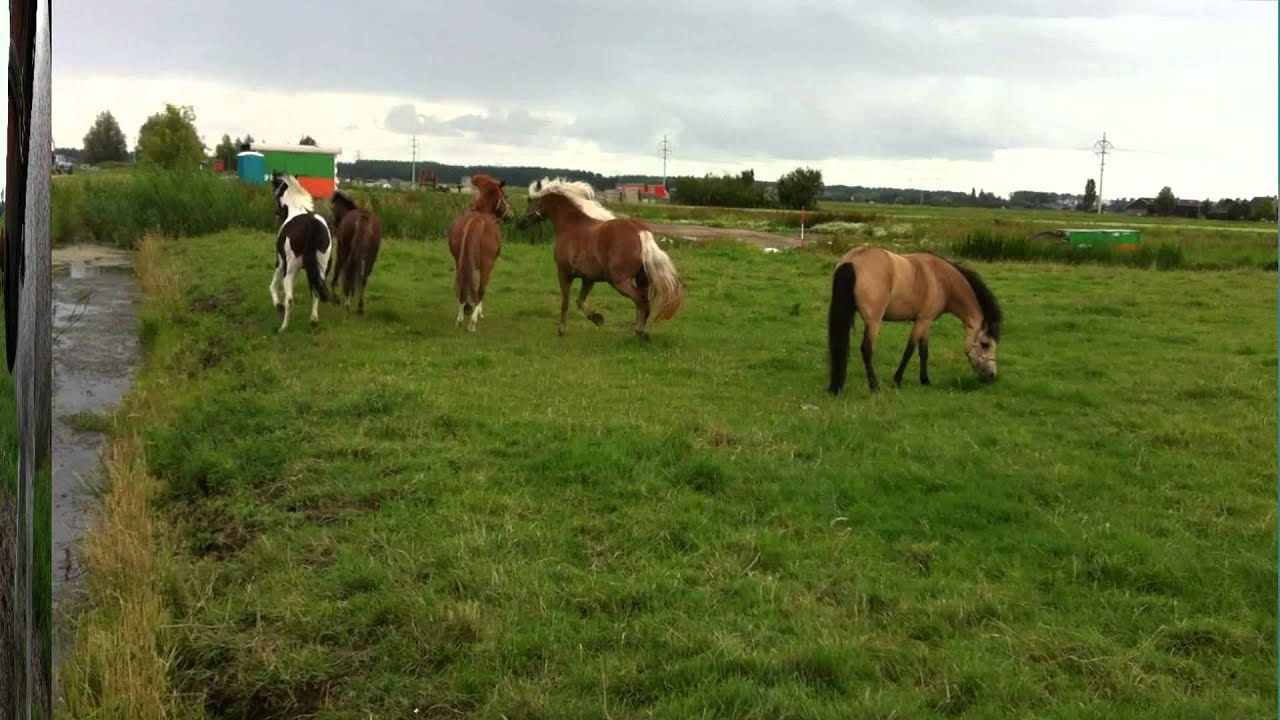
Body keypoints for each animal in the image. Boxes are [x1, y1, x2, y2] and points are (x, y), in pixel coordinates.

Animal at [268, 174, 335, 333]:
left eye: (276, 192)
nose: (277, 214)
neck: (296, 209)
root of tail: (311, 225)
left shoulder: (281, 262)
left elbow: (273, 286)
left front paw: (278, 305)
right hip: (321, 268)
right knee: (317, 292)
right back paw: (313, 321)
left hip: (290, 269)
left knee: (289, 297)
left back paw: (283, 327)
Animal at [445, 173, 513, 331]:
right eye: (505, 196)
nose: (510, 216)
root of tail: (476, 220)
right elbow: (479, 289)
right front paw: (478, 312)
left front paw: (468, 308)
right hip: (487, 266)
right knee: (481, 290)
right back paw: (473, 320)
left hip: (460, 262)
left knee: (462, 285)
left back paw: (461, 317)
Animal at [515, 177, 683, 339]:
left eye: (529, 200)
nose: (520, 223)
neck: (572, 225)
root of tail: (640, 231)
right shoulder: (588, 278)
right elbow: (580, 301)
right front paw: (597, 318)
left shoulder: (564, 273)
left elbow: (565, 302)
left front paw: (562, 329)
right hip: (642, 279)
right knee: (642, 302)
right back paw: (640, 330)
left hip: (620, 282)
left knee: (642, 301)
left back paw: (640, 331)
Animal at [826, 246, 1003, 395]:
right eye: (985, 344)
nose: (992, 375)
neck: (941, 279)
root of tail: (853, 260)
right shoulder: (922, 321)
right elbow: (910, 350)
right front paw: (897, 380)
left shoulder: (927, 322)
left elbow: (924, 352)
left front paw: (925, 380)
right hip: (873, 322)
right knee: (866, 349)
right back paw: (874, 386)